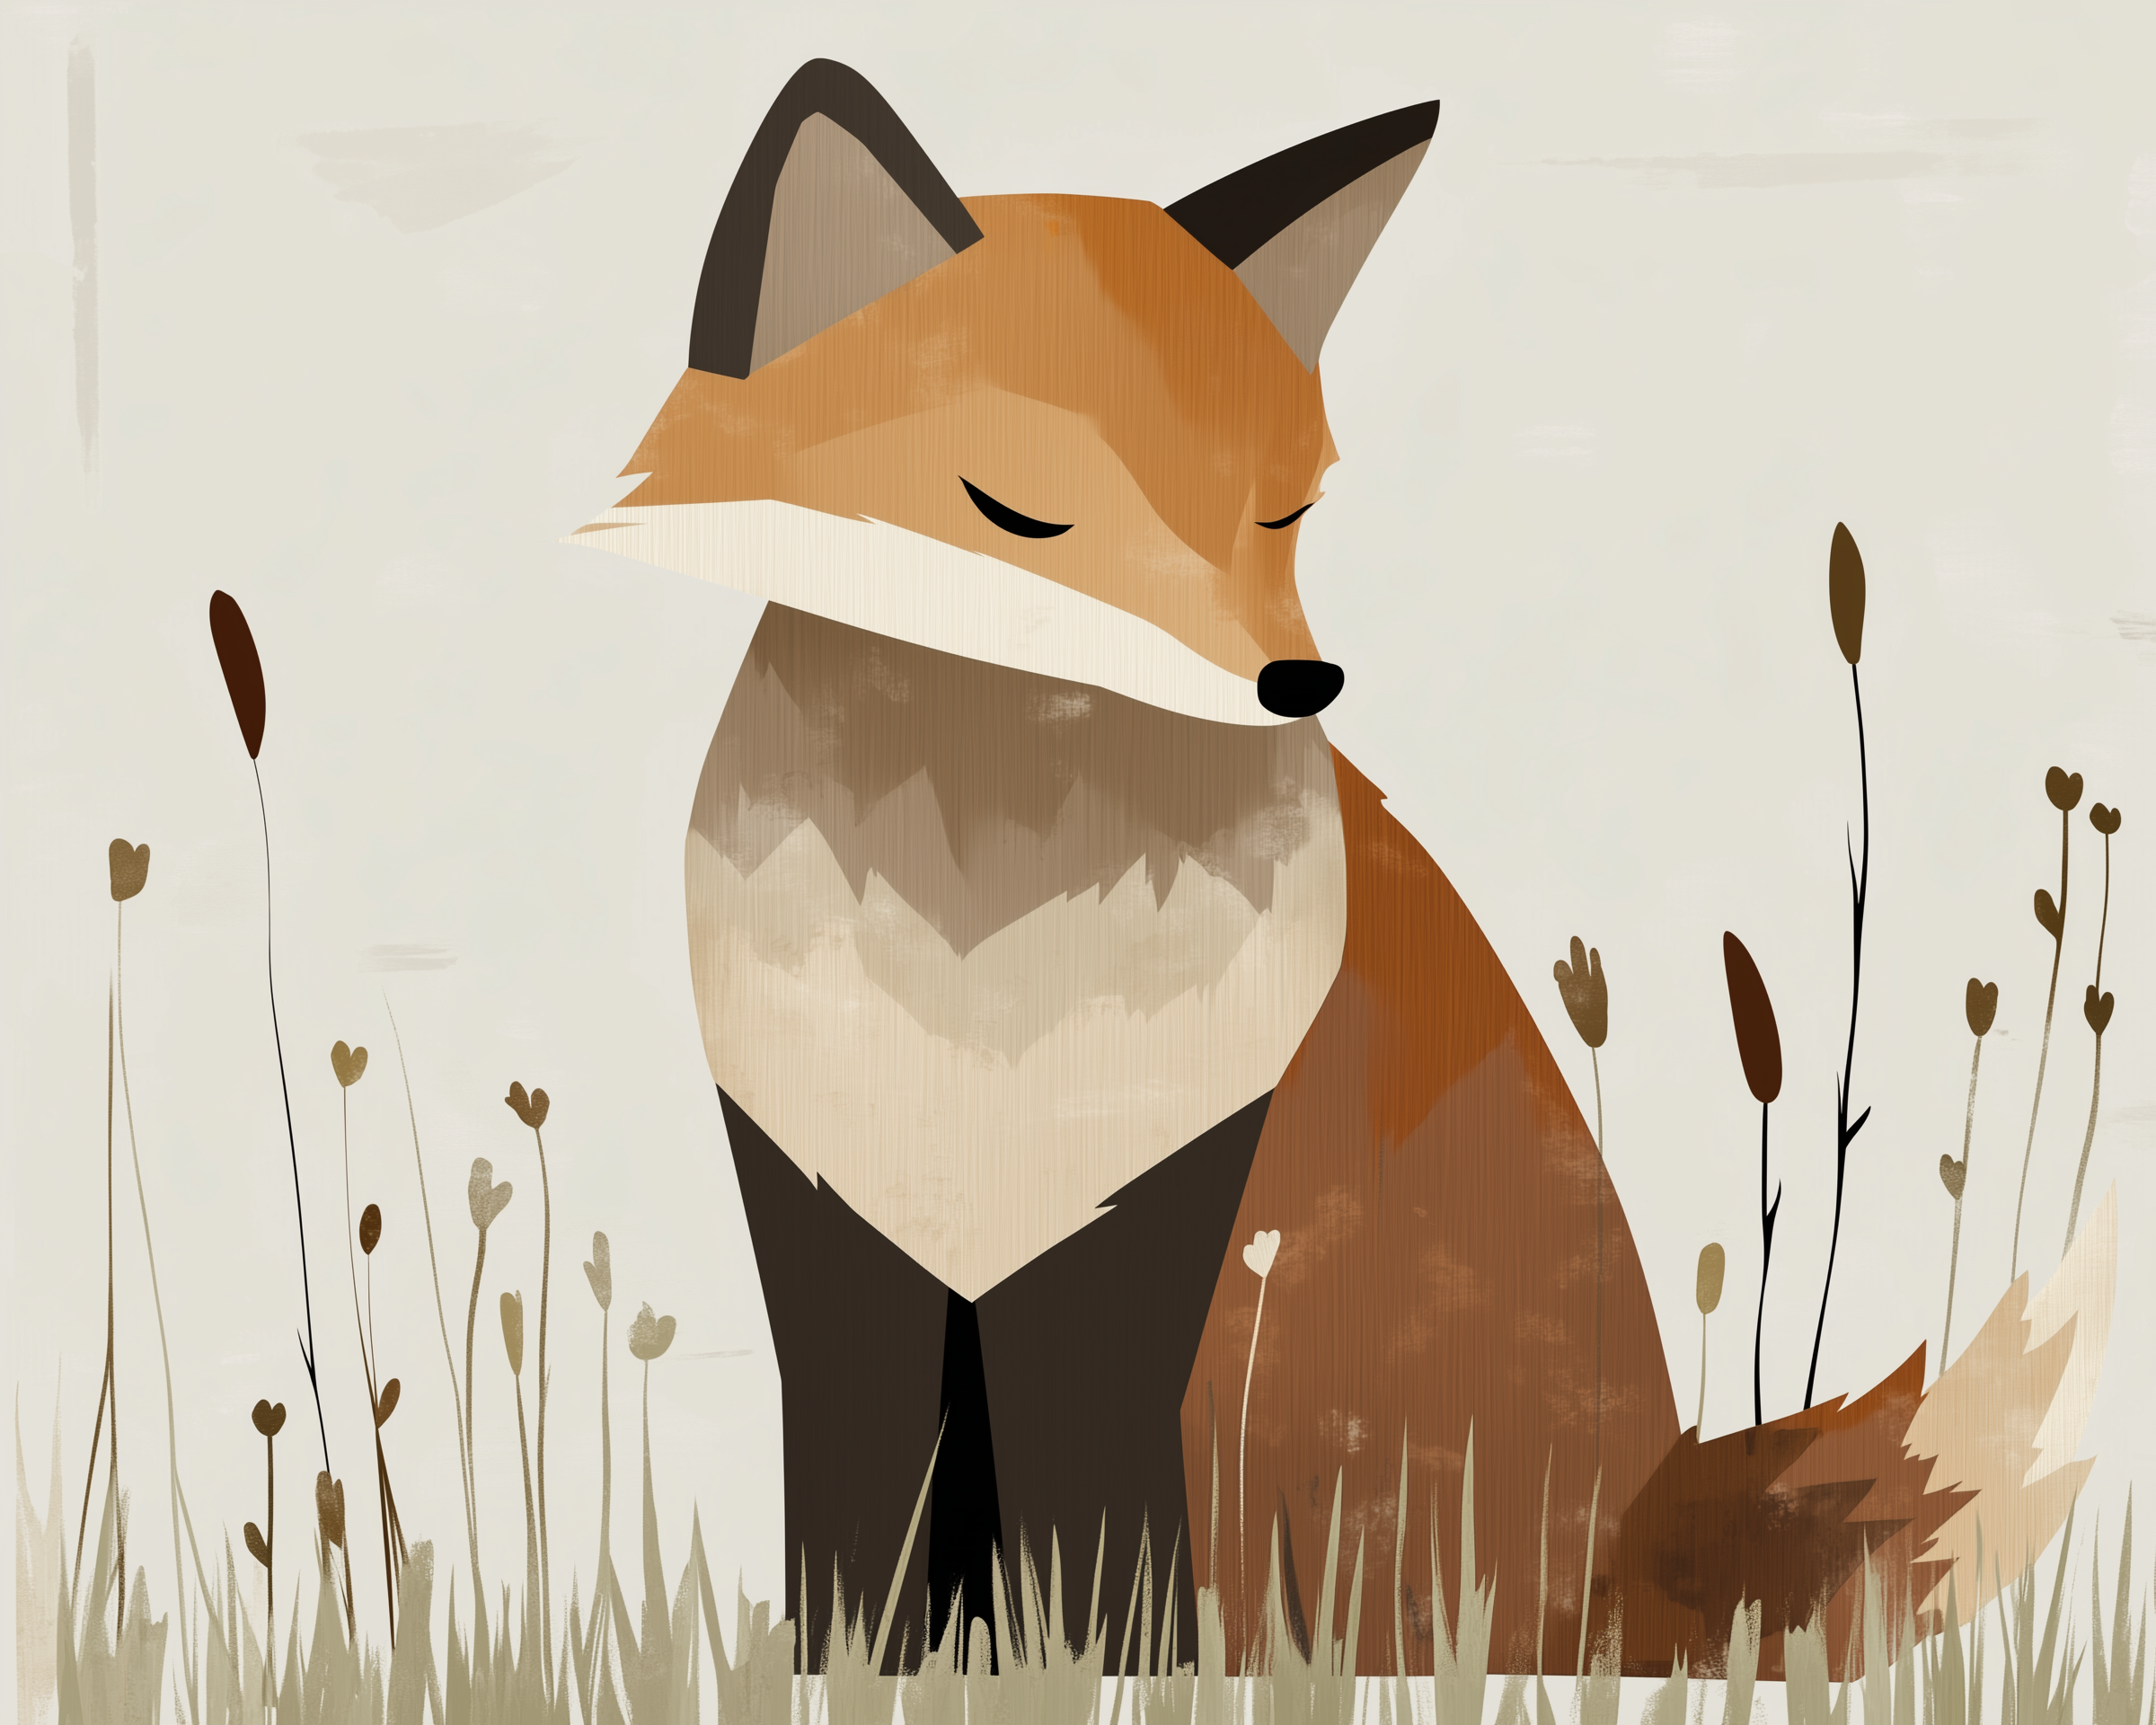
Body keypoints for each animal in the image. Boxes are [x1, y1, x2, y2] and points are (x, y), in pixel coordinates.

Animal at [577, 59, 2115, 1680]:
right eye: (1020, 508)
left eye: (1284, 511)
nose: (1299, 683)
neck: (980, 958)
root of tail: (1638, 1553)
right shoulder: (828, 1200)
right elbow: (868, 1502)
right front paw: (856, 1672)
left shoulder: (1153, 1202)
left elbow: (1090, 1523)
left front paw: (1106, 1674)